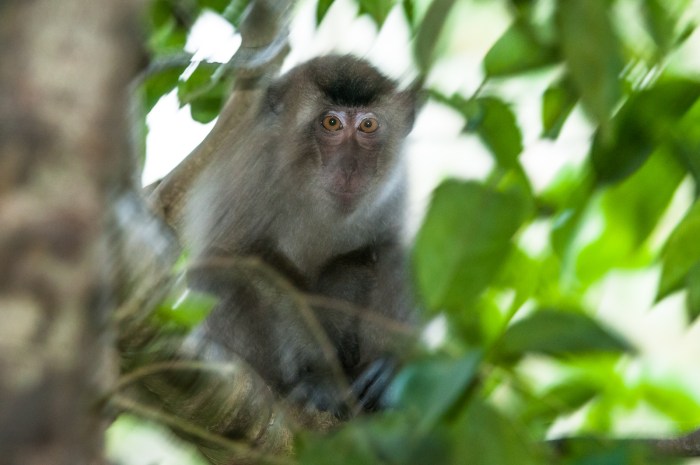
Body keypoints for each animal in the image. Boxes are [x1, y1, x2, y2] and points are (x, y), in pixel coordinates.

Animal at [175, 54, 418, 416]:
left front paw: (390, 367)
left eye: (368, 126)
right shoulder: (255, 169)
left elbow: (394, 247)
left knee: (387, 252)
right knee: (218, 267)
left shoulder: (397, 184)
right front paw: (319, 378)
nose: (350, 166)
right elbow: (240, 256)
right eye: (331, 123)